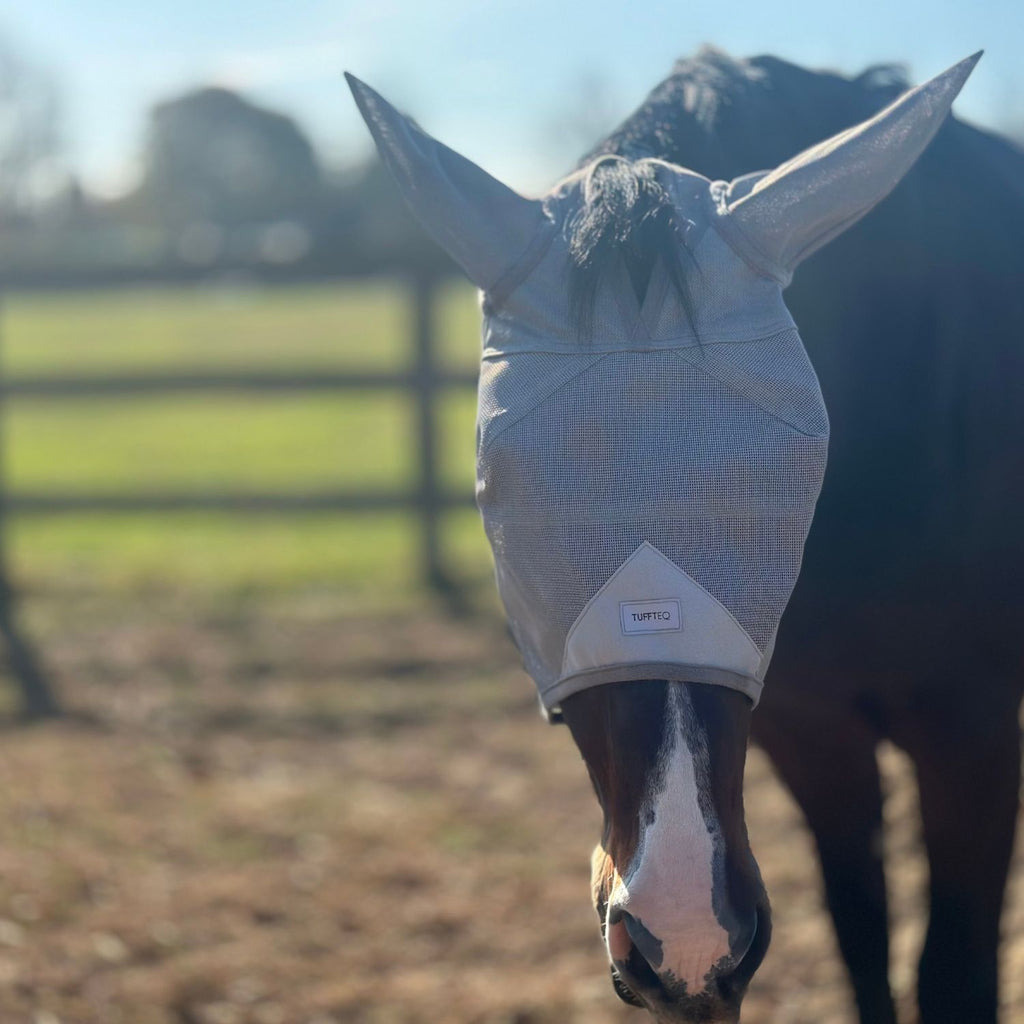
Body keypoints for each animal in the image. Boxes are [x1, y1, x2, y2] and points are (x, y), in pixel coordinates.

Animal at [347, 50, 1020, 1023]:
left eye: (787, 479)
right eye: (502, 503)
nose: (682, 939)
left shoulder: (973, 731)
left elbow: (952, 974)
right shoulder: (814, 734)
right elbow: (861, 943)